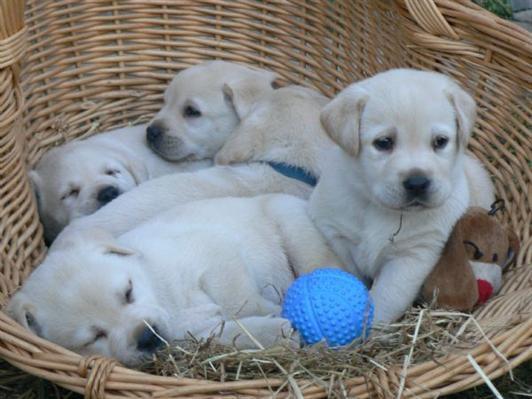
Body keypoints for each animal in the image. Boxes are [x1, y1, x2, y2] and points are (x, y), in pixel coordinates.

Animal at [8, 195, 342, 368]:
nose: (147, 337)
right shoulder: (187, 338)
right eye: (93, 338)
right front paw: (275, 331)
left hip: (293, 224)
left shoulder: (214, 251)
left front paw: (272, 309)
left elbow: (239, 301)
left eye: (128, 291)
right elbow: (222, 333)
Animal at [308, 69, 494, 324]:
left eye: (440, 141)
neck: (379, 208)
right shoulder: (335, 233)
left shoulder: (413, 255)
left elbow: (386, 298)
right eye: (384, 142)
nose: (417, 183)